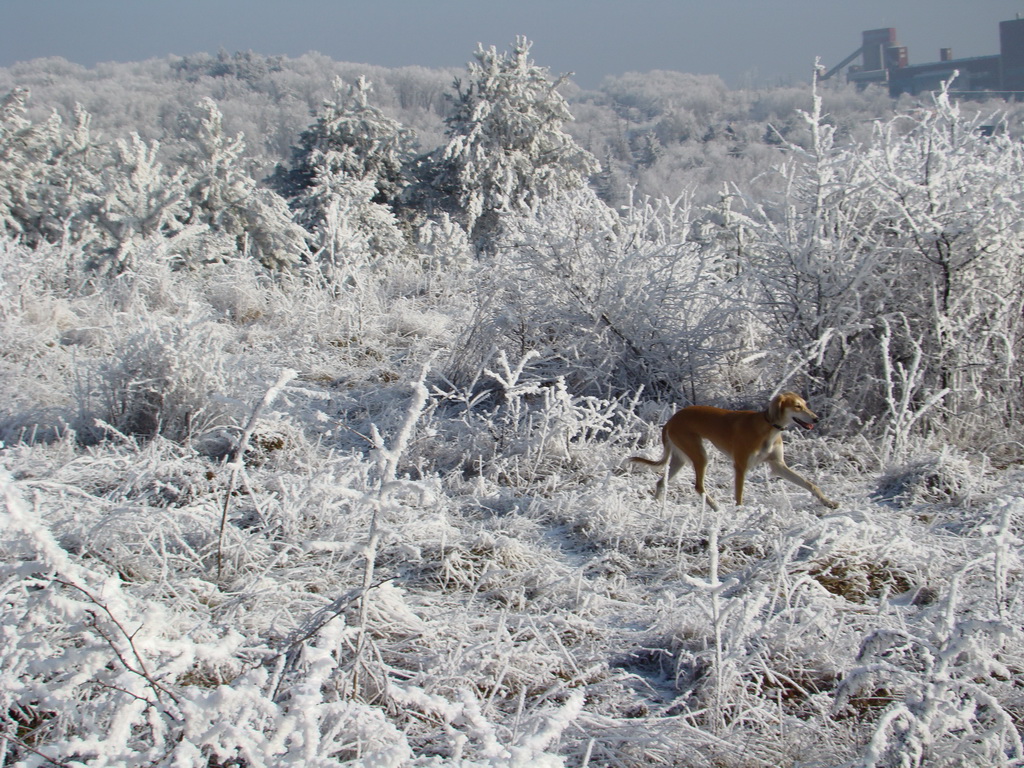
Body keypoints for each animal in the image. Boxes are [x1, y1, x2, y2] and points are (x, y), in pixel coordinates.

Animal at [630, 397, 839, 512]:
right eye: (797, 406)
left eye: (805, 404)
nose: (816, 418)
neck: (768, 427)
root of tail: (671, 420)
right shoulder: (740, 466)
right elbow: (739, 496)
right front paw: (739, 516)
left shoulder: (778, 466)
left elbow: (810, 484)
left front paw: (829, 502)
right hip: (700, 456)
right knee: (698, 486)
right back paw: (716, 508)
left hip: (680, 459)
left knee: (661, 482)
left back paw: (658, 506)